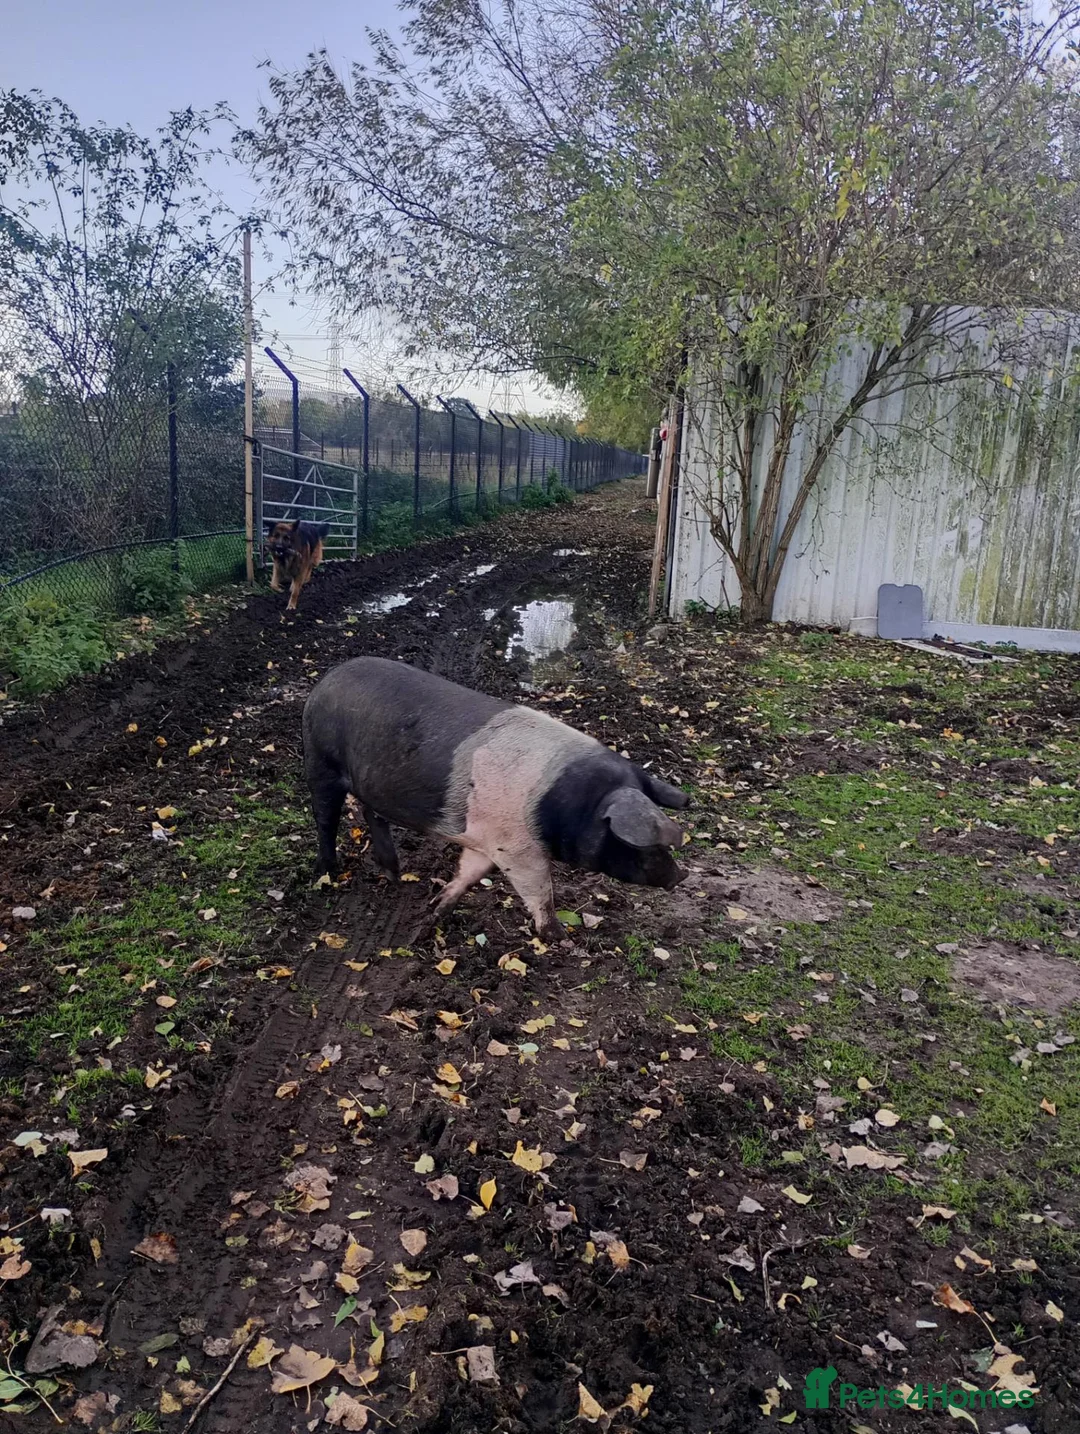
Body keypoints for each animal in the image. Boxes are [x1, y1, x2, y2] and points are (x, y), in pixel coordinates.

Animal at [302, 656, 689, 939]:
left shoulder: (486, 841)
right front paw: (559, 938)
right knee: (325, 819)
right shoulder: (518, 848)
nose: (681, 876)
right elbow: (541, 890)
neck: (573, 804)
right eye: (641, 844)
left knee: (372, 813)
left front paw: (433, 911)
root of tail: (327, 679)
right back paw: (328, 874)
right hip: (320, 762)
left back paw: (393, 874)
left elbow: (467, 875)